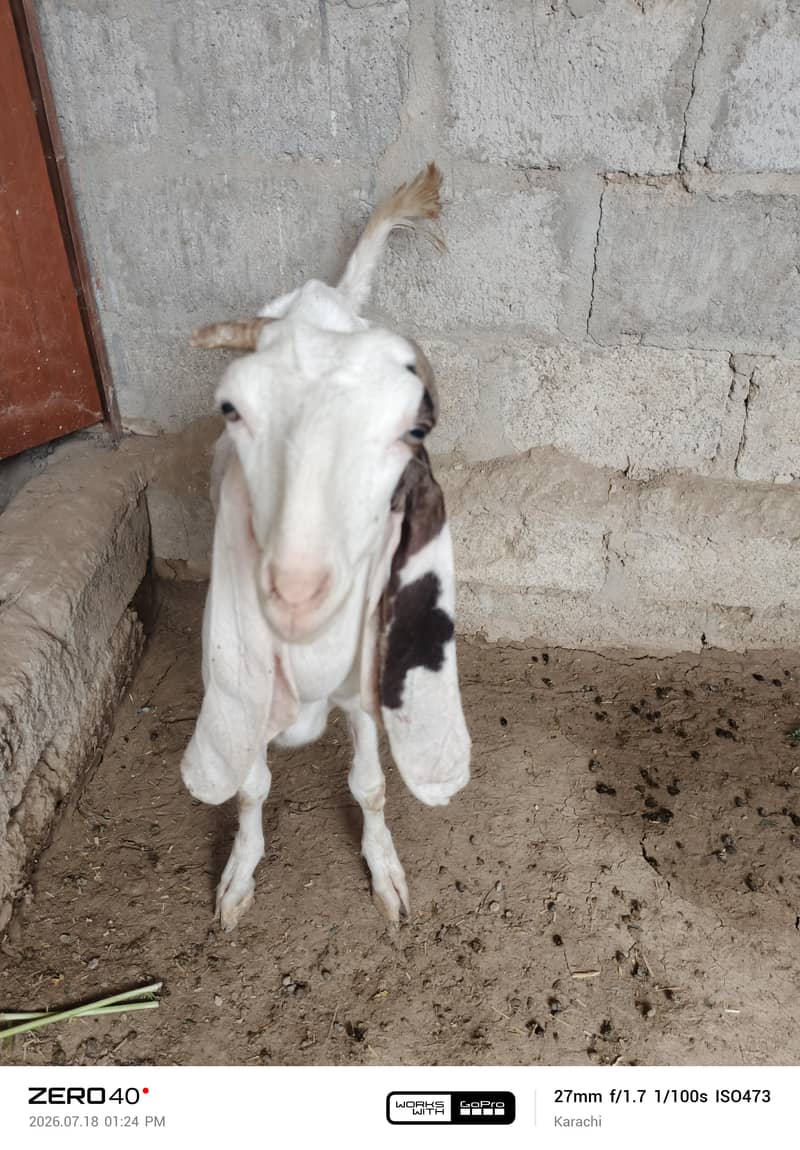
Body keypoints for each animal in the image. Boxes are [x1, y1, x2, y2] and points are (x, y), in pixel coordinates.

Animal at [180, 164, 471, 931]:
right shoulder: (243, 685)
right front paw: (238, 878)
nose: (296, 592)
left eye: (414, 430)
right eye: (232, 408)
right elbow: (250, 784)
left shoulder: (368, 683)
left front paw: (386, 874)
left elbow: (370, 784)